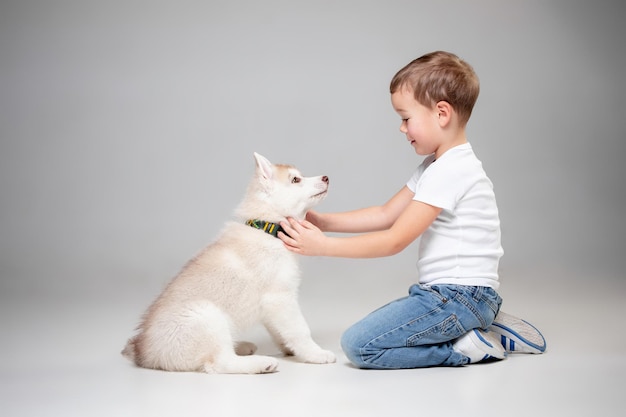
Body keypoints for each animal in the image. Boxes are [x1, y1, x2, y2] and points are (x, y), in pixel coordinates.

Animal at [123, 153, 336, 374]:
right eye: (296, 180)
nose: (326, 177)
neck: (267, 228)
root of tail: (143, 353)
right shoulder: (280, 298)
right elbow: (300, 330)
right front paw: (315, 353)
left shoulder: (271, 306)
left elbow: (281, 331)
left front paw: (290, 349)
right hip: (207, 315)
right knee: (219, 362)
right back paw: (260, 363)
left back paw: (241, 346)